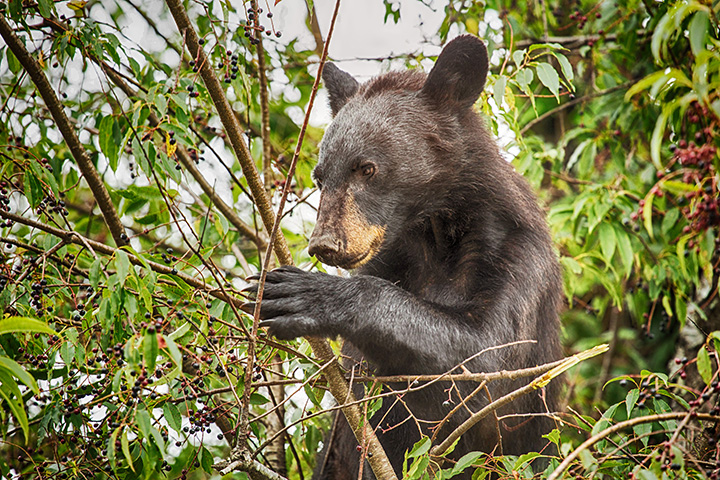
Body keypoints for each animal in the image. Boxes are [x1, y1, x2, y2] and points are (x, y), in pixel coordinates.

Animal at [250, 35, 564, 478]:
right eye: (320, 176)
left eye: (366, 168)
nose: (324, 243)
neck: (435, 236)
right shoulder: (392, 259)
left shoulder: (517, 257)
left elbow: (488, 361)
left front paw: (302, 293)